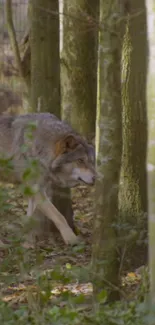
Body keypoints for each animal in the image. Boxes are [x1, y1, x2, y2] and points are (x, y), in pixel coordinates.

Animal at [0, 112, 95, 244]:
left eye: (91, 162)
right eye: (80, 161)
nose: (95, 178)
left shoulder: (37, 191)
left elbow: (30, 218)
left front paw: (27, 243)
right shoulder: (35, 190)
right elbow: (59, 216)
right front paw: (71, 239)